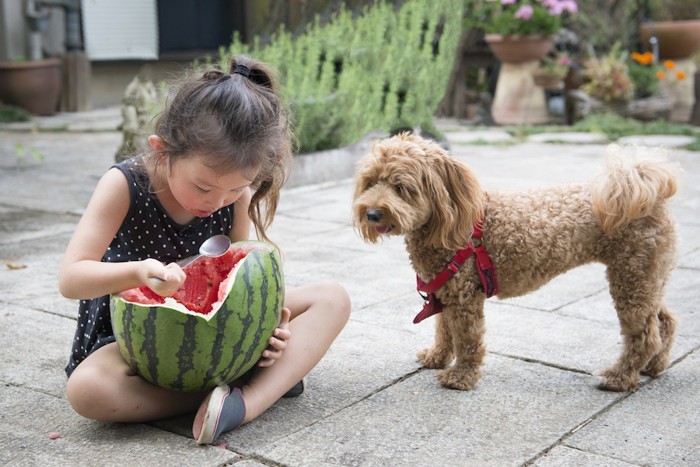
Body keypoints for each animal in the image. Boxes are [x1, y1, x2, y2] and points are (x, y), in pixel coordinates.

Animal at [352, 133, 680, 394]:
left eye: (401, 187)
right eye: (370, 182)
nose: (371, 213)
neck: (449, 223)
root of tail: (650, 195)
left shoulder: (465, 296)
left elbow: (468, 339)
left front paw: (461, 377)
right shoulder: (445, 292)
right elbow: (444, 330)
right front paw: (437, 358)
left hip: (631, 277)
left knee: (644, 336)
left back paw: (619, 378)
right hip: (647, 276)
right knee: (664, 319)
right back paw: (654, 366)